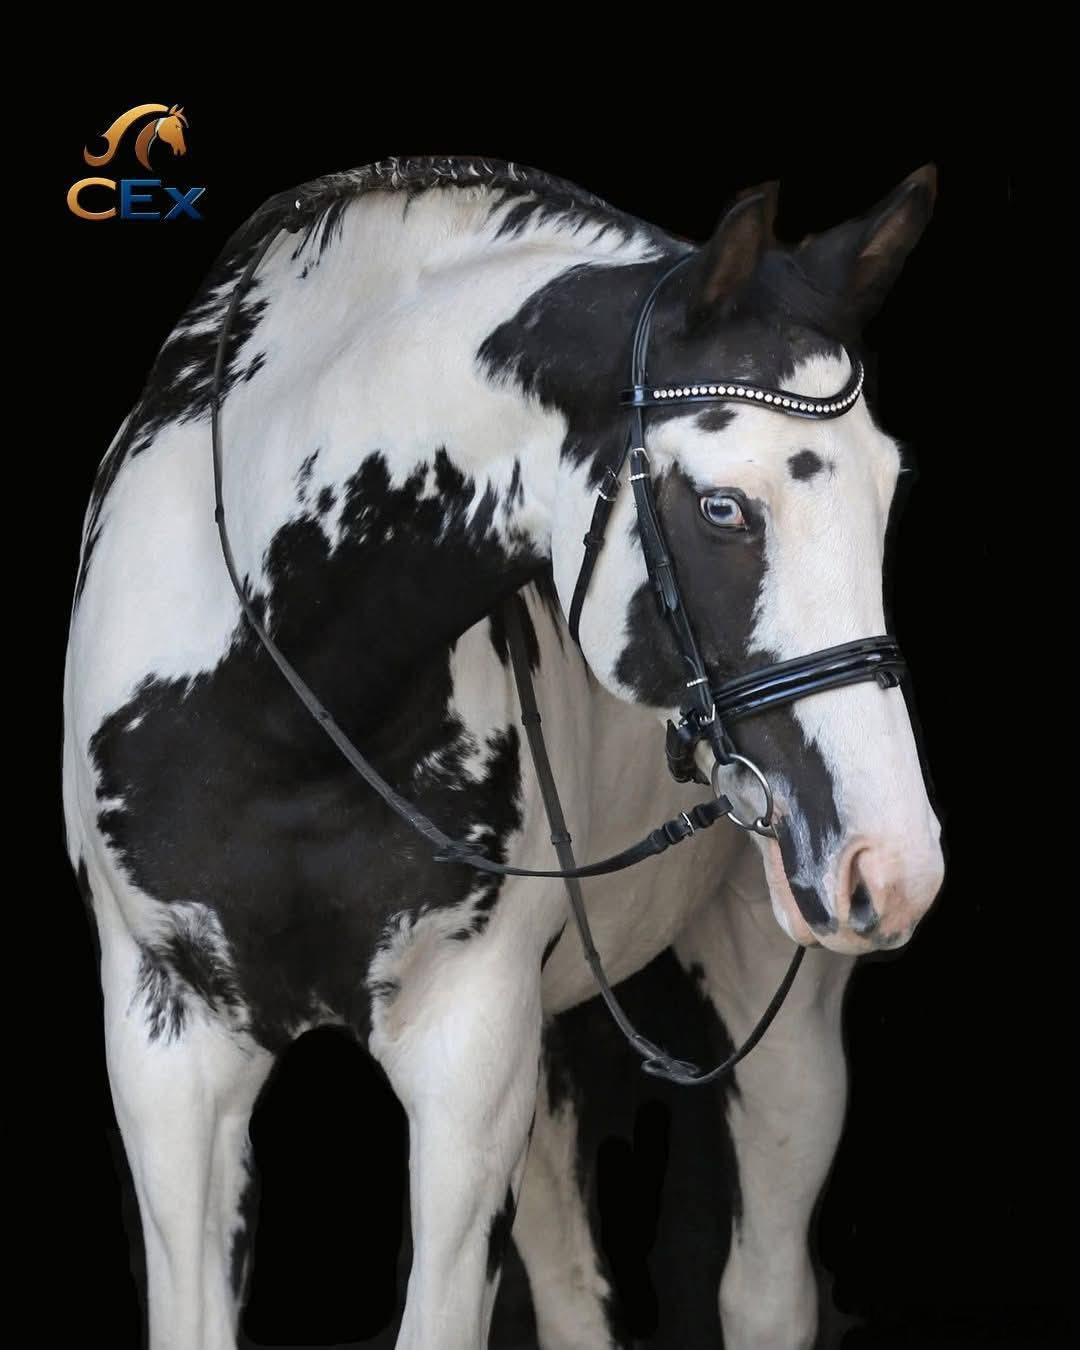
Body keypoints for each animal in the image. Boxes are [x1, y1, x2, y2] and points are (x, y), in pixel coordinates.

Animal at [63, 155, 944, 1349]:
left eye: (888, 490)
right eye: (724, 507)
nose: (894, 864)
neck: (286, 717)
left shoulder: (467, 1053)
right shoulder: (170, 1054)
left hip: (777, 991)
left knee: (765, 1291)